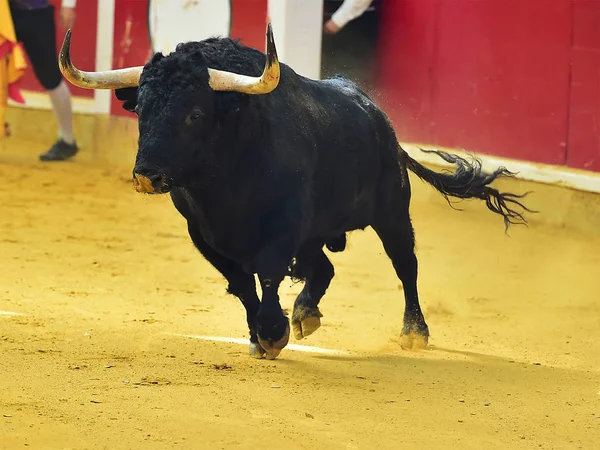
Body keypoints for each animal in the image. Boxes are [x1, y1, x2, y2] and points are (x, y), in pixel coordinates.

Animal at [58, 26, 532, 360]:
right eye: (141, 109)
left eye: (194, 113)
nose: (147, 175)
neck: (225, 182)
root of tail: (381, 121)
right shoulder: (203, 234)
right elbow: (240, 283)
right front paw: (260, 334)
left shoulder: (283, 227)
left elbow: (267, 273)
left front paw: (272, 332)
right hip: (317, 234)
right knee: (323, 269)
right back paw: (306, 313)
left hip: (393, 213)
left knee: (406, 266)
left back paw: (414, 332)